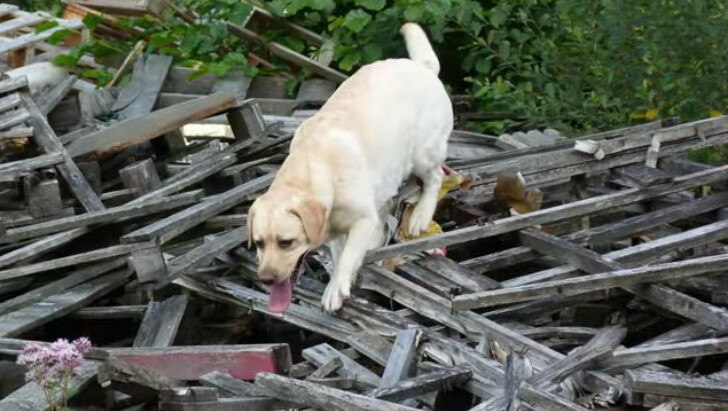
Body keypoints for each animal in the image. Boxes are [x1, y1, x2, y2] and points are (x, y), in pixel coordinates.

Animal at [252, 21, 456, 312]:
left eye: (286, 243)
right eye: (258, 243)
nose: (266, 279)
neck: (314, 171)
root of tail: (423, 67)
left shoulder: (362, 219)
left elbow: (347, 256)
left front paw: (335, 289)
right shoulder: (336, 232)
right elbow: (340, 254)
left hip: (423, 153)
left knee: (435, 177)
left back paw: (420, 217)